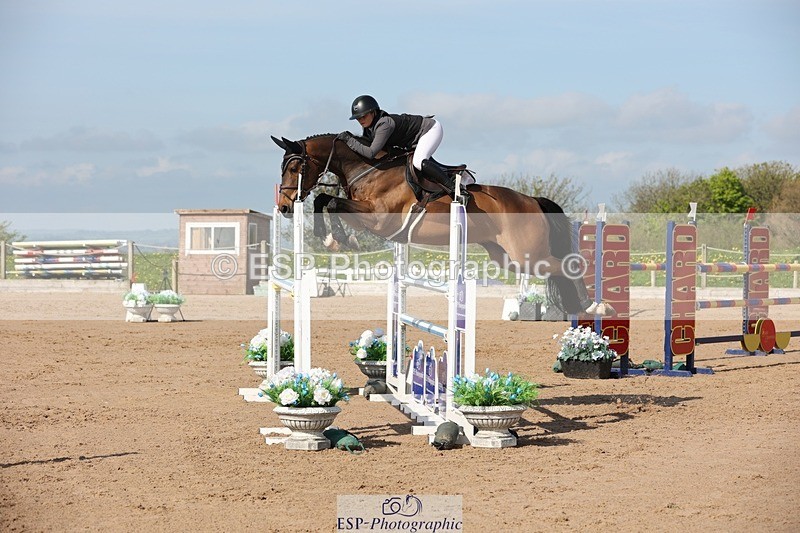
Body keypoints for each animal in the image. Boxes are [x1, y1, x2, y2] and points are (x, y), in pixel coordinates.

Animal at [270, 133, 611, 316]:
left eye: (295, 167)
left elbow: (329, 202)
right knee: (556, 269)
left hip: (528, 254)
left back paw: (596, 307)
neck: (367, 169)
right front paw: (333, 238)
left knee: (570, 265)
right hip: (509, 258)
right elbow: (324, 200)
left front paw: (336, 239)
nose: (284, 206)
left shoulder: (378, 218)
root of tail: (532, 200)